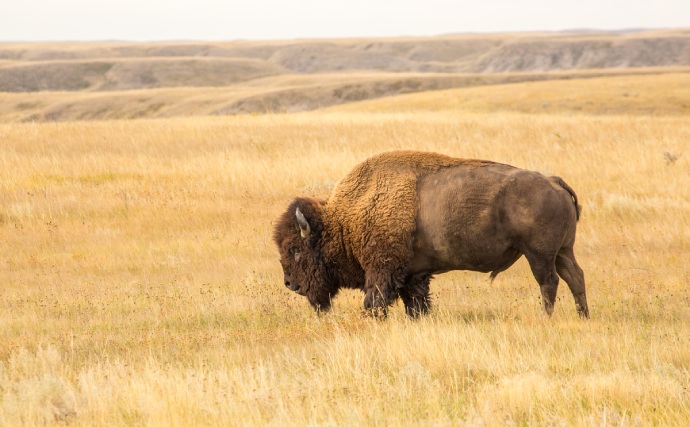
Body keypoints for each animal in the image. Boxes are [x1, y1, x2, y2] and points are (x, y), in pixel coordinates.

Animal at [272, 152, 584, 320]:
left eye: (295, 249)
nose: (289, 283)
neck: (344, 221)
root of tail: (553, 181)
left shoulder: (382, 272)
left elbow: (375, 302)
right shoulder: (414, 275)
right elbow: (417, 304)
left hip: (539, 254)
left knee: (549, 282)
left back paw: (546, 317)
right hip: (563, 251)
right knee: (575, 277)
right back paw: (584, 315)